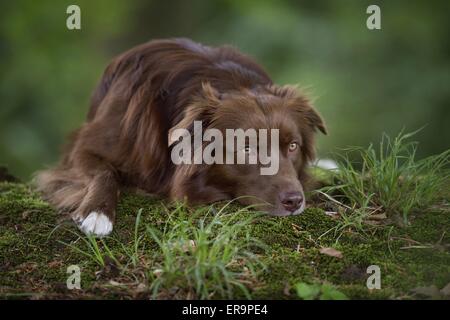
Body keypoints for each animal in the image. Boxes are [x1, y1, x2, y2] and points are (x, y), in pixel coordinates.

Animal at [36, 38, 326, 238]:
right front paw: (97, 212)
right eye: (246, 148)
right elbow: (103, 172)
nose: (294, 201)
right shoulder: (85, 147)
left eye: (293, 146)